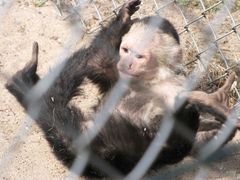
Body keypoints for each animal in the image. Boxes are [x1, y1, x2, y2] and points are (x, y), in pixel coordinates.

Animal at [4, 0, 237, 177]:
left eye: (140, 56)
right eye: (125, 50)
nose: (127, 63)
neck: (150, 82)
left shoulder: (177, 87)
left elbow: (195, 145)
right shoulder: (116, 75)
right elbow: (96, 62)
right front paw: (123, 19)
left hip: (117, 151)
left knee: (171, 142)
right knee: (57, 95)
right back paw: (24, 81)